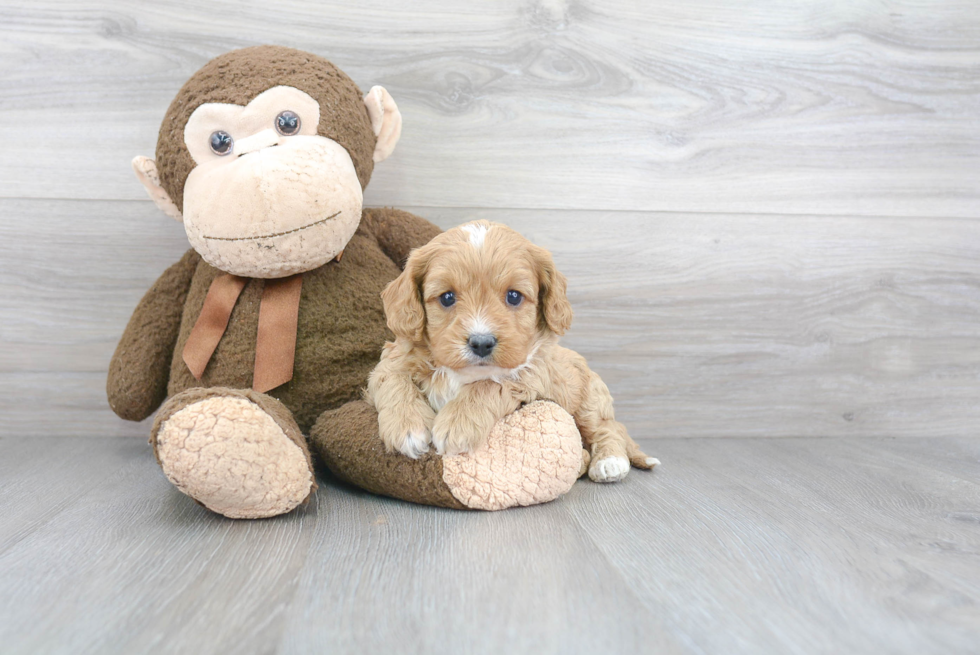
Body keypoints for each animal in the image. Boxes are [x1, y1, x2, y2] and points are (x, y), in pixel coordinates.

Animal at [362, 220, 660, 482]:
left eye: (514, 296)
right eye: (447, 297)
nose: (481, 343)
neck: (463, 373)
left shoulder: (529, 375)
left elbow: (489, 384)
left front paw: (456, 425)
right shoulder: (390, 361)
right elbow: (394, 381)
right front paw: (407, 428)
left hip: (589, 400)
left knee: (608, 427)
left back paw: (610, 462)